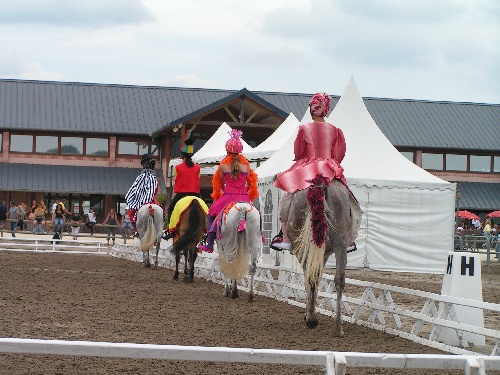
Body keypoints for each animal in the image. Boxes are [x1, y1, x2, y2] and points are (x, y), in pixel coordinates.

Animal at [282, 175, 360, 340]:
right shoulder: (324, 254)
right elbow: (318, 277)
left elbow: (310, 278)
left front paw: (308, 314)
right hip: (340, 243)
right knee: (339, 279)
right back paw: (337, 328)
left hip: (305, 244)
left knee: (310, 276)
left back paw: (312, 319)